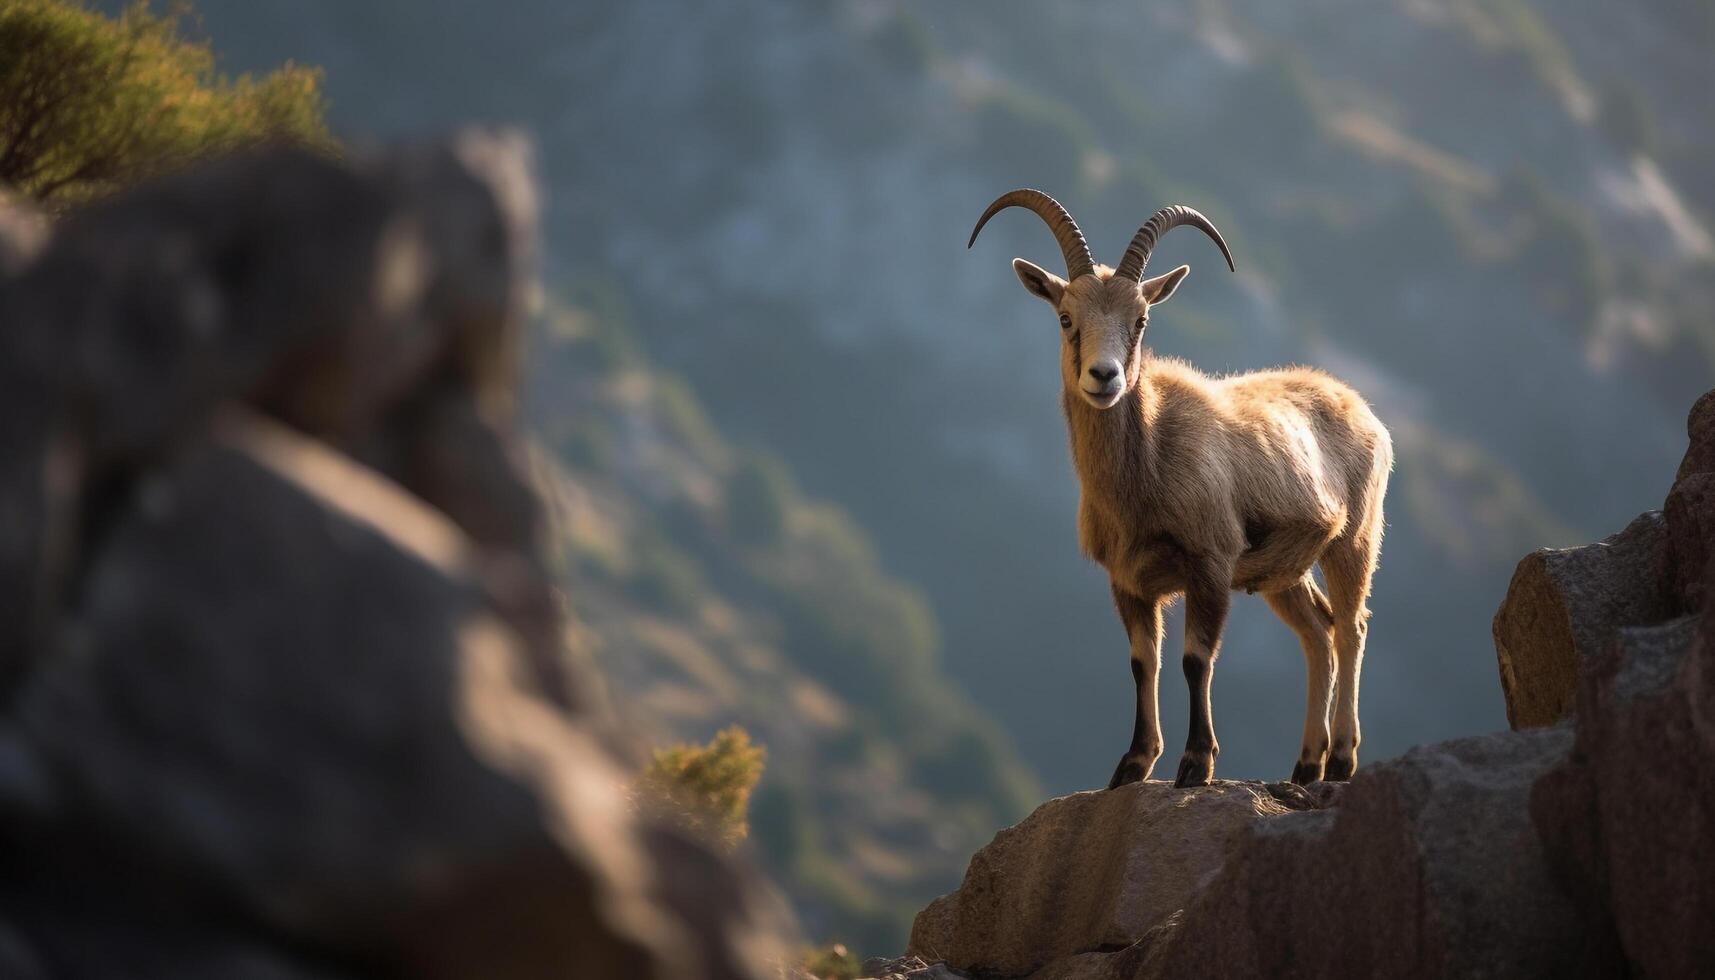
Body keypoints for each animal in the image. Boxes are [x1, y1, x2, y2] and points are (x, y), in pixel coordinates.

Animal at [974, 189, 1385, 789]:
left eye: (1141, 319)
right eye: (1066, 317)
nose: (1104, 376)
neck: (1148, 466)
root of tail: (1363, 408)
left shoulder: (1210, 562)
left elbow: (1195, 659)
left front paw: (1196, 764)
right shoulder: (1128, 581)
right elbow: (1143, 661)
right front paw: (1133, 765)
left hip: (1354, 539)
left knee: (1351, 627)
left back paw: (1341, 761)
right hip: (1283, 571)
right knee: (1318, 632)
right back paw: (1307, 765)